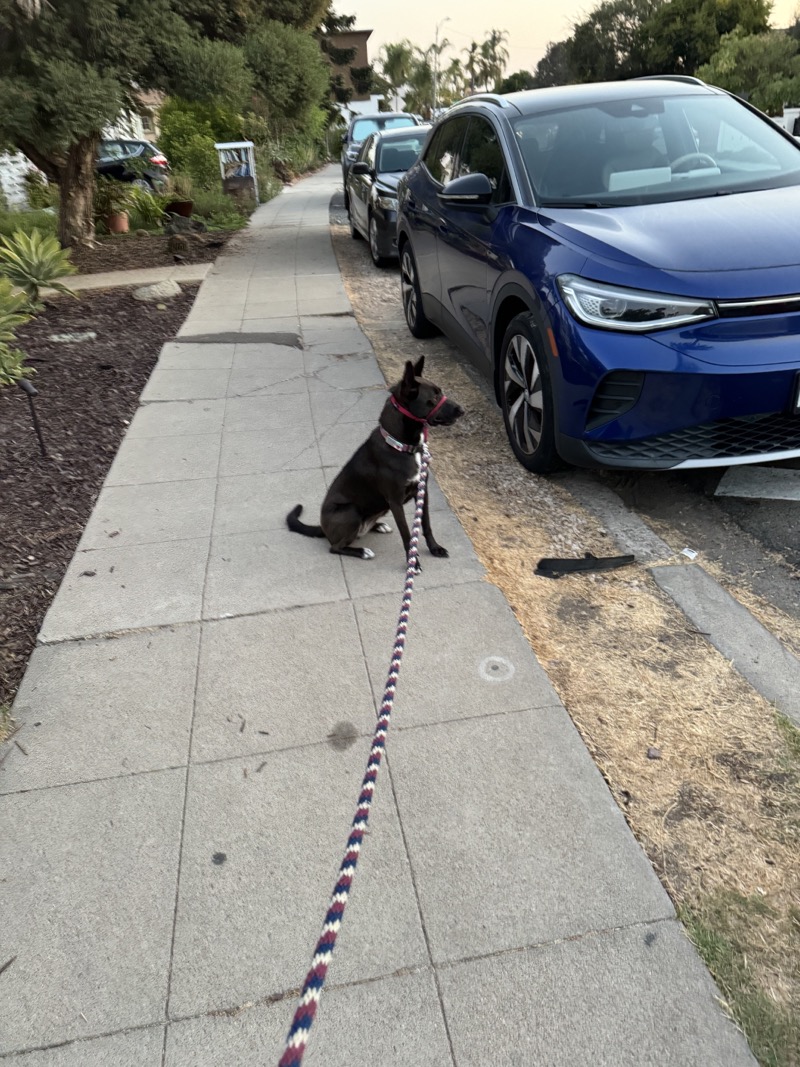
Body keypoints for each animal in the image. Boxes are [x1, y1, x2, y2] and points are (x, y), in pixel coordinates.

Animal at [285, 354, 462, 563]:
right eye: (433, 398)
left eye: (440, 392)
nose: (462, 410)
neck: (402, 446)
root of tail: (324, 528)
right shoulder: (395, 501)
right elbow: (407, 535)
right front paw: (413, 562)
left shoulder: (422, 491)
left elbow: (425, 524)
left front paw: (435, 548)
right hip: (350, 511)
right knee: (335, 547)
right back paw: (361, 551)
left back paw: (378, 525)